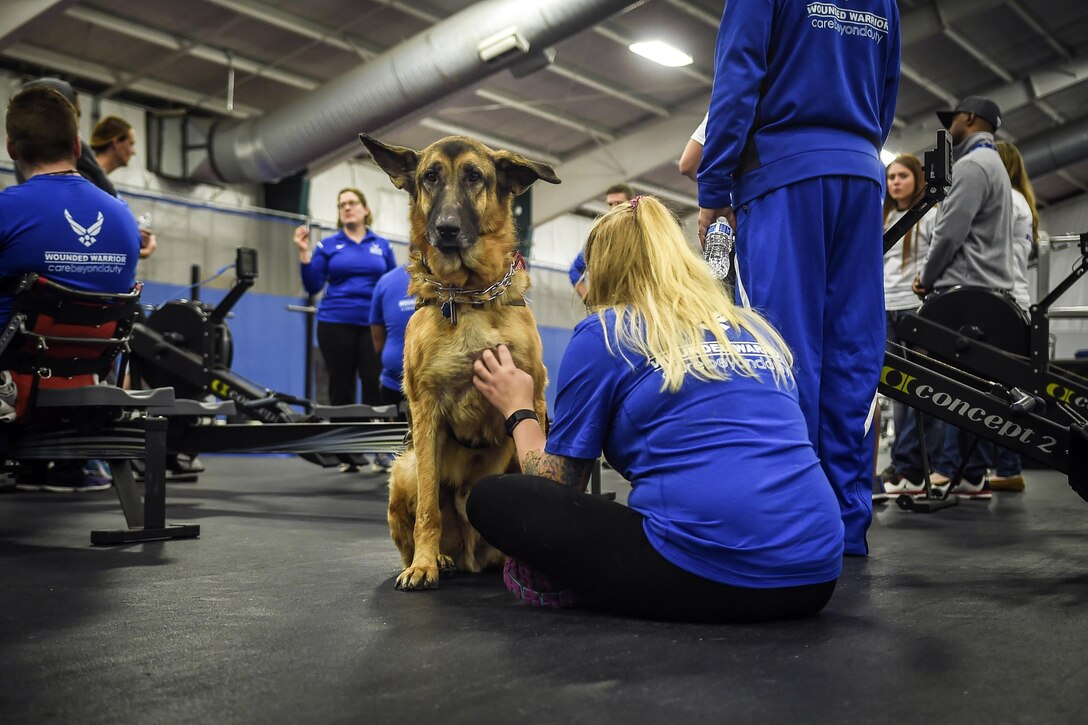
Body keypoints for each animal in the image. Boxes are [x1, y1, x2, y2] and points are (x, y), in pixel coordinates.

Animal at [361, 133, 561, 587]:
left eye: (474, 176)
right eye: (430, 177)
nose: (446, 229)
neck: (469, 296)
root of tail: (473, 556)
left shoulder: (535, 402)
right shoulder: (427, 412)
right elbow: (428, 509)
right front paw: (424, 564)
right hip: (404, 469)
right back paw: (438, 558)